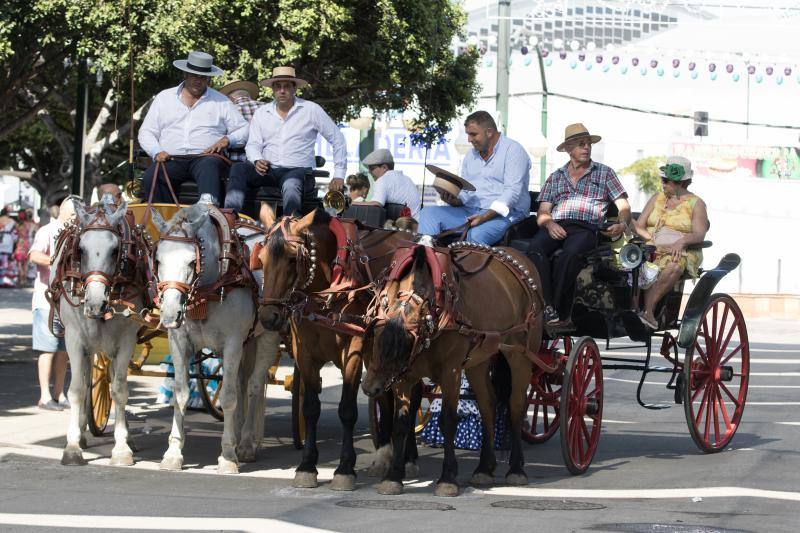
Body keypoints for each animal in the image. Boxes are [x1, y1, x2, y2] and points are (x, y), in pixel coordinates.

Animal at [57, 195, 142, 466]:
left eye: (115, 250)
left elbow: (120, 390)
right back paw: (82, 432)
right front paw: (72, 447)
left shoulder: (126, 340)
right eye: (80, 250)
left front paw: (121, 448)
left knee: (114, 379)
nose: (96, 303)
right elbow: (76, 390)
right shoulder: (74, 338)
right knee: (87, 381)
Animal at [150, 197, 278, 472]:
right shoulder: (179, 342)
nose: (170, 313)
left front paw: (227, 456)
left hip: (268, 335)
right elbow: (181, 394)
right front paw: (173, 453)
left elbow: (228, 397)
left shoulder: (232, 344)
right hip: (247, 342)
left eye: (191, 262)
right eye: (158, 261)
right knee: (241, 383)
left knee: (252, 386)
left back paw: (246, 444)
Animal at [258, 204, 418, 490]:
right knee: (385, 396)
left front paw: (345, 469)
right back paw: (384, 455)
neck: (326, 292)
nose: (269, 317)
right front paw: (307, 466)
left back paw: (408, 457)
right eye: (261, 258)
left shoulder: (352, 351)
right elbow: (311, 408)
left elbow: (347, 410)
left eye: (292, 259)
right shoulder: (304, 352)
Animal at [360, 239, 544, 496]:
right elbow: (401, 423)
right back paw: (484, 469)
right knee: (488, 405)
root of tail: (517, 256)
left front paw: (447, 478)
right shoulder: (405, 377)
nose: (369, 388)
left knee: (516, 405)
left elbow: (448, 421)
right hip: (480, 359)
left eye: (401, 346)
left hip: (520, 354)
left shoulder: (451, 371)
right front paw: (393, 477)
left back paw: (516, 469)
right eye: (374, 338)